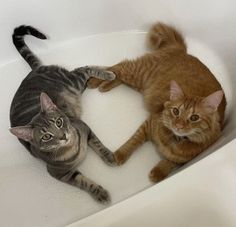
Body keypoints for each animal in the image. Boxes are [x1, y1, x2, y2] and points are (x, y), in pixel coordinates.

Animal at [9, 25, 116, 204]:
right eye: (46, 137)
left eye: (58, 122)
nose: (63, 136)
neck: (74, 148)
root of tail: (35, 70)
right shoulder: (61, 174)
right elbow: (84, 183)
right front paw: (99, 193)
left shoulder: (85, 127)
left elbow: (98, 144)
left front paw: (109, 156)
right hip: (77, 88)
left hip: (73, 82)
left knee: (84, 68)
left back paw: (109, 73)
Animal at [87, 22, 226, 183]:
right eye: (176, 111)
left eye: (194, 117)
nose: (178, 126)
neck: (174, 139)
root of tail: (181, 49)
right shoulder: (149, 124)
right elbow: (133, 142)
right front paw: (120, 155)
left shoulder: (188, 156)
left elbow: (171, 162)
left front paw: (159, 172)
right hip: (138, 73)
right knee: (118, 67)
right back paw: (95, 80)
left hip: (140, 84)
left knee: (119, 75)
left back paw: (105, 85)